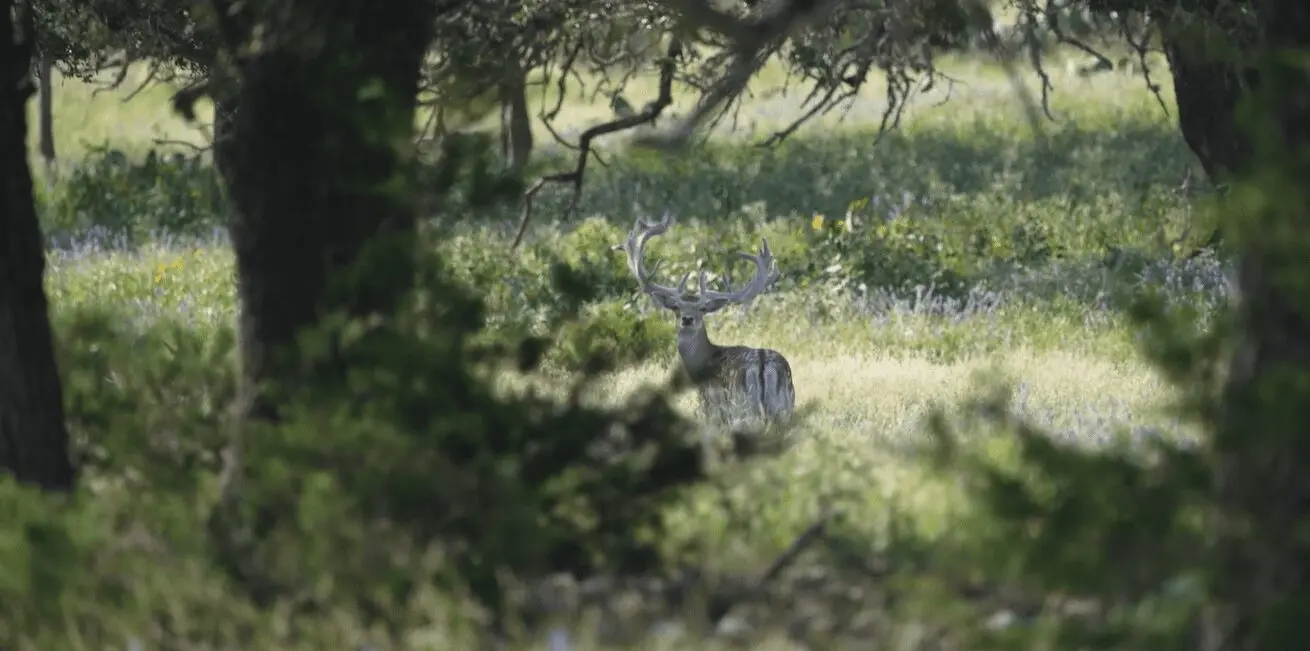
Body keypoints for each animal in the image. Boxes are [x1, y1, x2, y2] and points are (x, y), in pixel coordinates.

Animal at [617, 213, 795, 424]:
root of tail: (762, 365)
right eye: (676, 307)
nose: (687, 319)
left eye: (702, 308)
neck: (699, 370)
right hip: (785, 407)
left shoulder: (711, 409)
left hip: (744, 409)